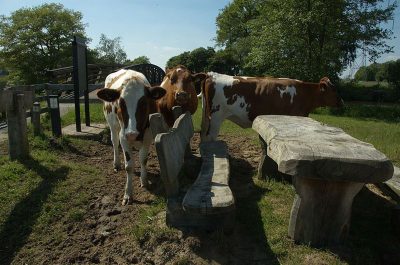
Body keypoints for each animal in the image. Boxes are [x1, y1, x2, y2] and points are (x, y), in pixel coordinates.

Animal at [202, 72, 342, 141]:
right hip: (216, 117)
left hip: (206, 116)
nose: (341, 101)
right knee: (210, 137)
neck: (304, 92)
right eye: (334, 90)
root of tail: (212, 75)